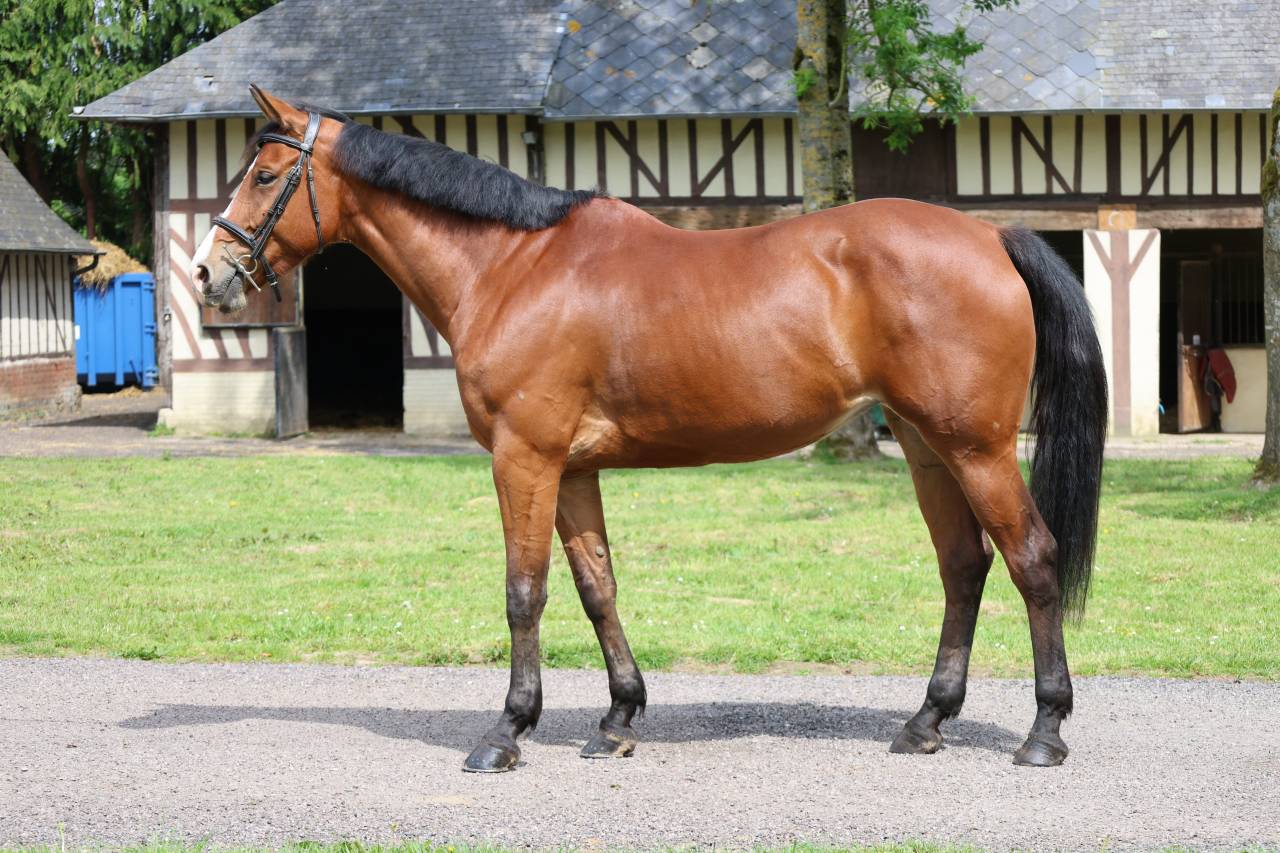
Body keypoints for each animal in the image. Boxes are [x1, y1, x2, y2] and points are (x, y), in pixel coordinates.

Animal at [191, 86, 1107, 773]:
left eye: (266, 174)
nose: (207, 272)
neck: (512, 266)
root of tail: (991, 233)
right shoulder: (571, 468)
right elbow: (597, 587)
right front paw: (618, 719)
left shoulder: (524, 458)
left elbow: (525, 592)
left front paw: (507, 730)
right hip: (926, 446)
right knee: (963, 566)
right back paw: (926, 721)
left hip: (976, 448)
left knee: (1032, 559)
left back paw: (1045, 731)